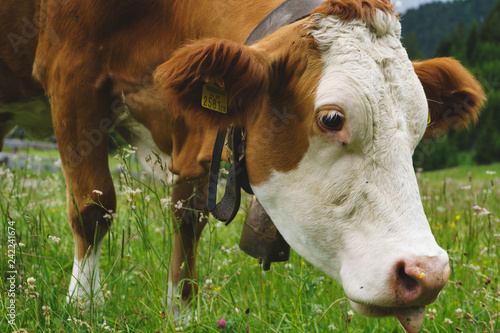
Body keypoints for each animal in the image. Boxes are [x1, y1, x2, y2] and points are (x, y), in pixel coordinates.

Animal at [0, 1, 484, 330]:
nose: (428, 274)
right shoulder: (71, 75)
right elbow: (93, 207)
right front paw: (83, 307)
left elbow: (188, 218)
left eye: (421, 126)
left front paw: (182, 311)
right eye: (331, 118)